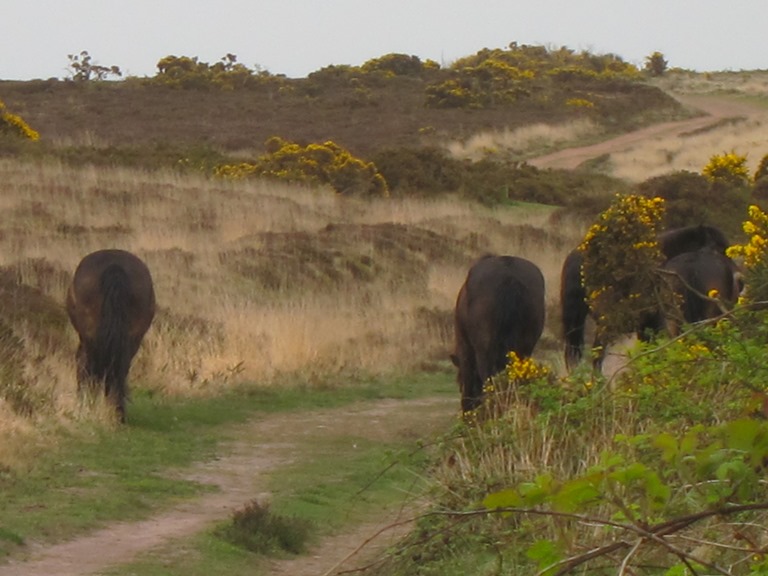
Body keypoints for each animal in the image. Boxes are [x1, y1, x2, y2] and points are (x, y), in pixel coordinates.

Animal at [450, 254, 544, 412]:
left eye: (459, 384)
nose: (466, 410)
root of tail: (509, 277)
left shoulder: (465, 348)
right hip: (525, 347)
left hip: (484, 352)